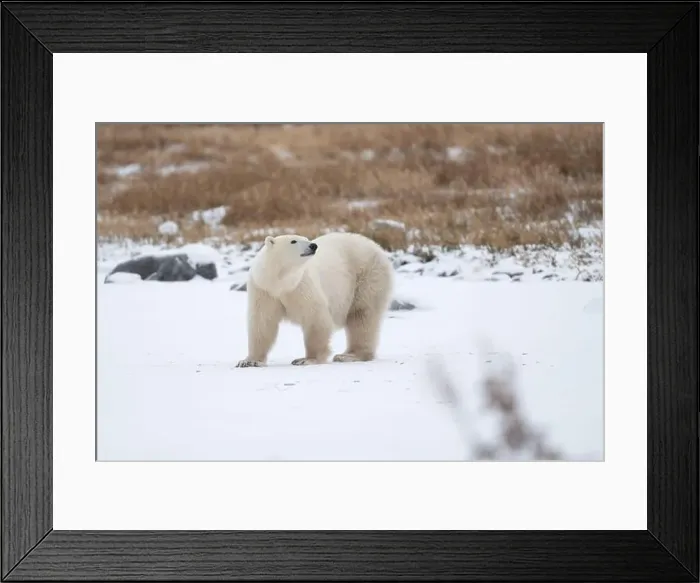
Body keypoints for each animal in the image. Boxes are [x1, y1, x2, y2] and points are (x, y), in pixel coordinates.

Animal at [235, 232, 394, 367]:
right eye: (293, 241)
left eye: (306, 238)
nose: (313, 245)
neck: (280, 282)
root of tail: (376, 246)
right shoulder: (264, 290)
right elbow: (262, 322)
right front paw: (249, 361)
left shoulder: (301, 285)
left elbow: (315, 318)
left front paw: (306, 359)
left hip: (367, 276)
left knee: (361, 316)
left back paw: (349, 355)